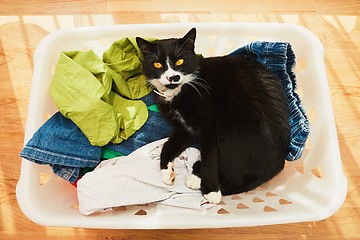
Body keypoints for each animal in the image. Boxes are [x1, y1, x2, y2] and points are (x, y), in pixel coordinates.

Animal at [135, 28, 290, 204]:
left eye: (180, 61)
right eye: (157, 64)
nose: (173, 77)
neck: (177, 92)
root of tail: (277, 163)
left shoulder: (207, 125)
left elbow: (209, 157)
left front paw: (211, 191)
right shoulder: (185, 129)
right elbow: (167, 146)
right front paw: (167, 172)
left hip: (229, 128)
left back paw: (199, 179)